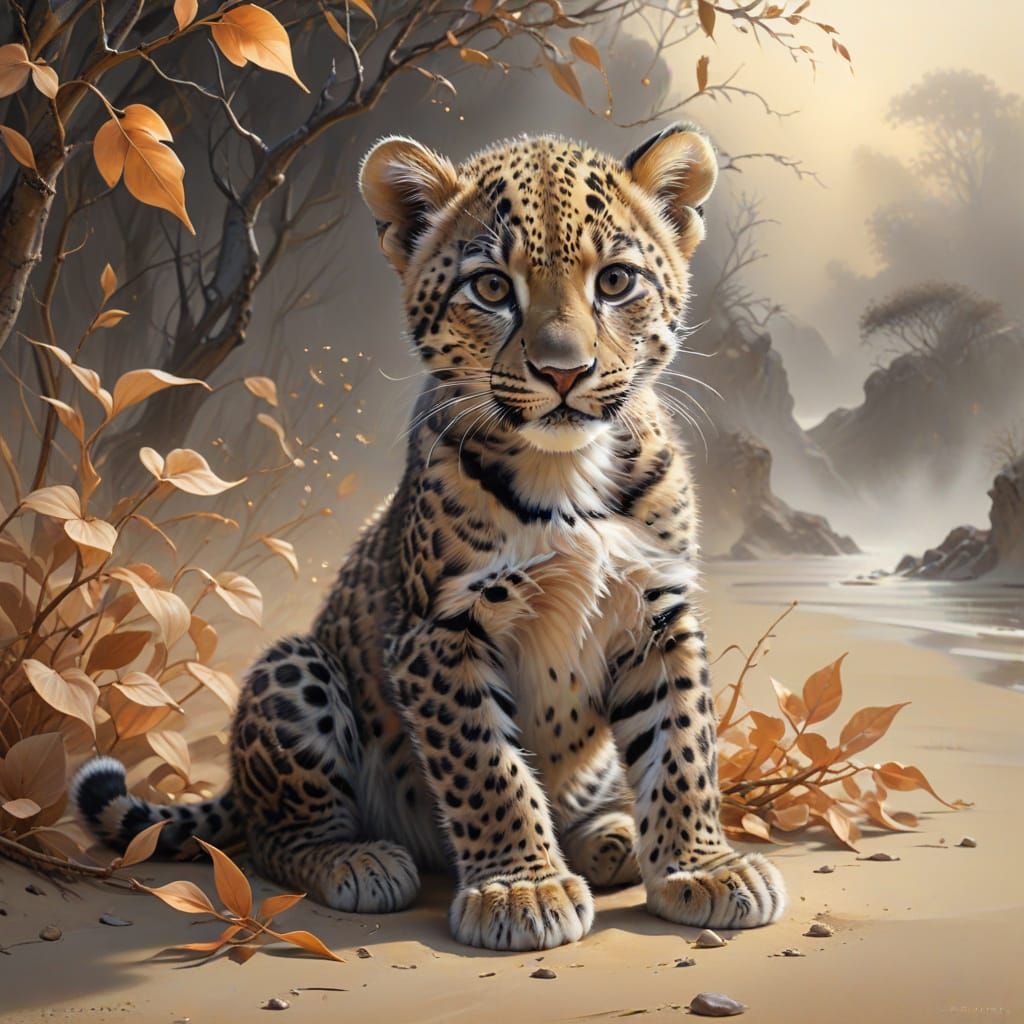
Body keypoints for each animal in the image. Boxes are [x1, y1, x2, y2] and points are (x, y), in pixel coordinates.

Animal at [72, 124, 786, 951]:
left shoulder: (658, 612)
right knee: (274, 836)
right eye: (491, 289)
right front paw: (521, 888)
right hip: (296, 670)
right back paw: (357, 861)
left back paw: (606, 836)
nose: (564, 372)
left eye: (615, 282)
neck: (567, 472)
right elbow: (488, 766)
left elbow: (682, 747)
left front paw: (702, 868)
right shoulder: (442, 628)